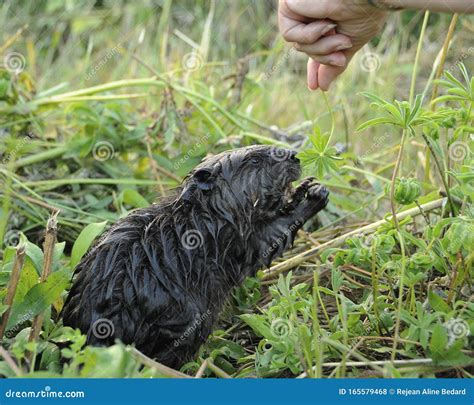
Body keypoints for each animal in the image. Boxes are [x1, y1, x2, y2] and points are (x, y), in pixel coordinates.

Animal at [62, 144, 330, 366]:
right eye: (254, 160)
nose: (294, 156)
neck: (203, 212)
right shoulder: (229, 236)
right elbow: (268, 239)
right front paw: (316, 193)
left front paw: (305, 186)